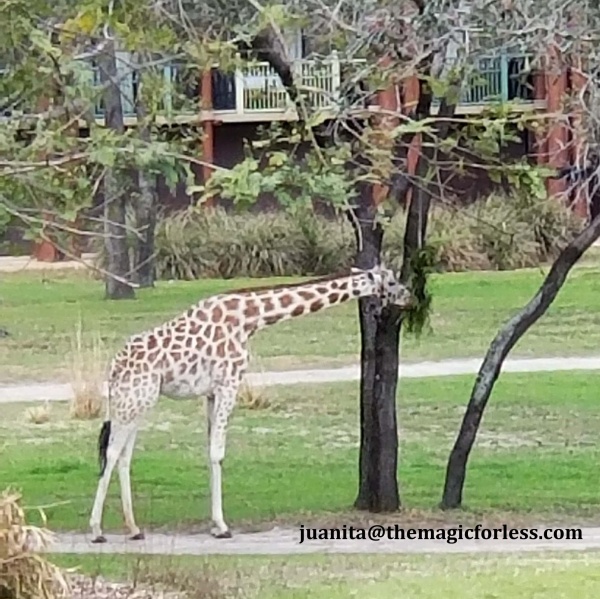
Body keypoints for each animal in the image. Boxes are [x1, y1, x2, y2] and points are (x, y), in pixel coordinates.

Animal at [88, 262, 412, 544]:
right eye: (391, 281)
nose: (408, 295)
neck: (251, 319)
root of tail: (113, 369)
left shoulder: (212, 391)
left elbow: (210, 451)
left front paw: (215, 524)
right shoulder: (229, 383)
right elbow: (218, 453)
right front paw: (222, 527)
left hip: (139, 401)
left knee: (123, 456)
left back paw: (134, 529)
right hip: (134, 398)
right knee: (113, 452)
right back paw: (96, 531)